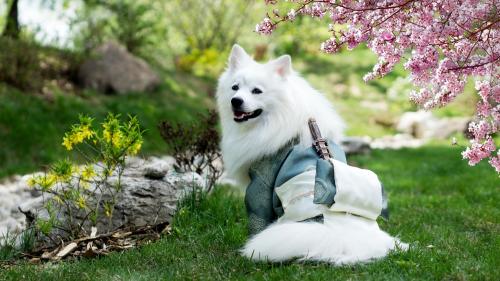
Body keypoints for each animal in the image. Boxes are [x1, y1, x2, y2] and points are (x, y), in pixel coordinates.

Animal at [216, 44, 406, 264]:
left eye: (257, 91)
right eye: (235, 88)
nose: (236, 101)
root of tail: (339, 234)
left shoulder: (260, 186)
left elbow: (257, 220)